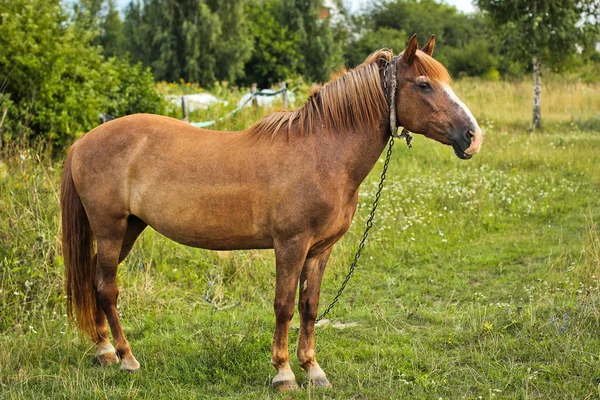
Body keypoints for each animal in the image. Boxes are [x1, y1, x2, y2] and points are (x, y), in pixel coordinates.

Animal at [61, 35, 482, 390]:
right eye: (424, 85)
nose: (472, 137)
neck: (322, 154)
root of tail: (82, 141)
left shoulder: (320, 250)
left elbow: (309, 307)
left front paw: (313, 369)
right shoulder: (290, 245)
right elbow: (283, 307)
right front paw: (283, 374)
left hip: (130, 229)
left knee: (95, 282)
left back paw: (103, 351)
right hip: (111, 229)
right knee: (107, 288)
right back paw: (126, 358)